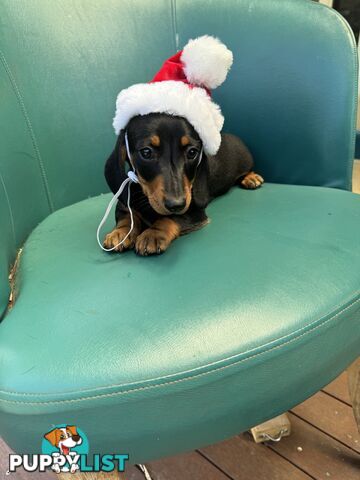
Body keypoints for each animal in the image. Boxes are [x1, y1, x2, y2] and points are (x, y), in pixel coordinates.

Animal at [102, 112, 262, 255]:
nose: (177, 204)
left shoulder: (194, 210)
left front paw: (153, 234)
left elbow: (170, 218)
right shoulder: (124, 203)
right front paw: (120, 233)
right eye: (146, 152)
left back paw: (251, 178)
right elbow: (127, 217)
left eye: (192, 152)